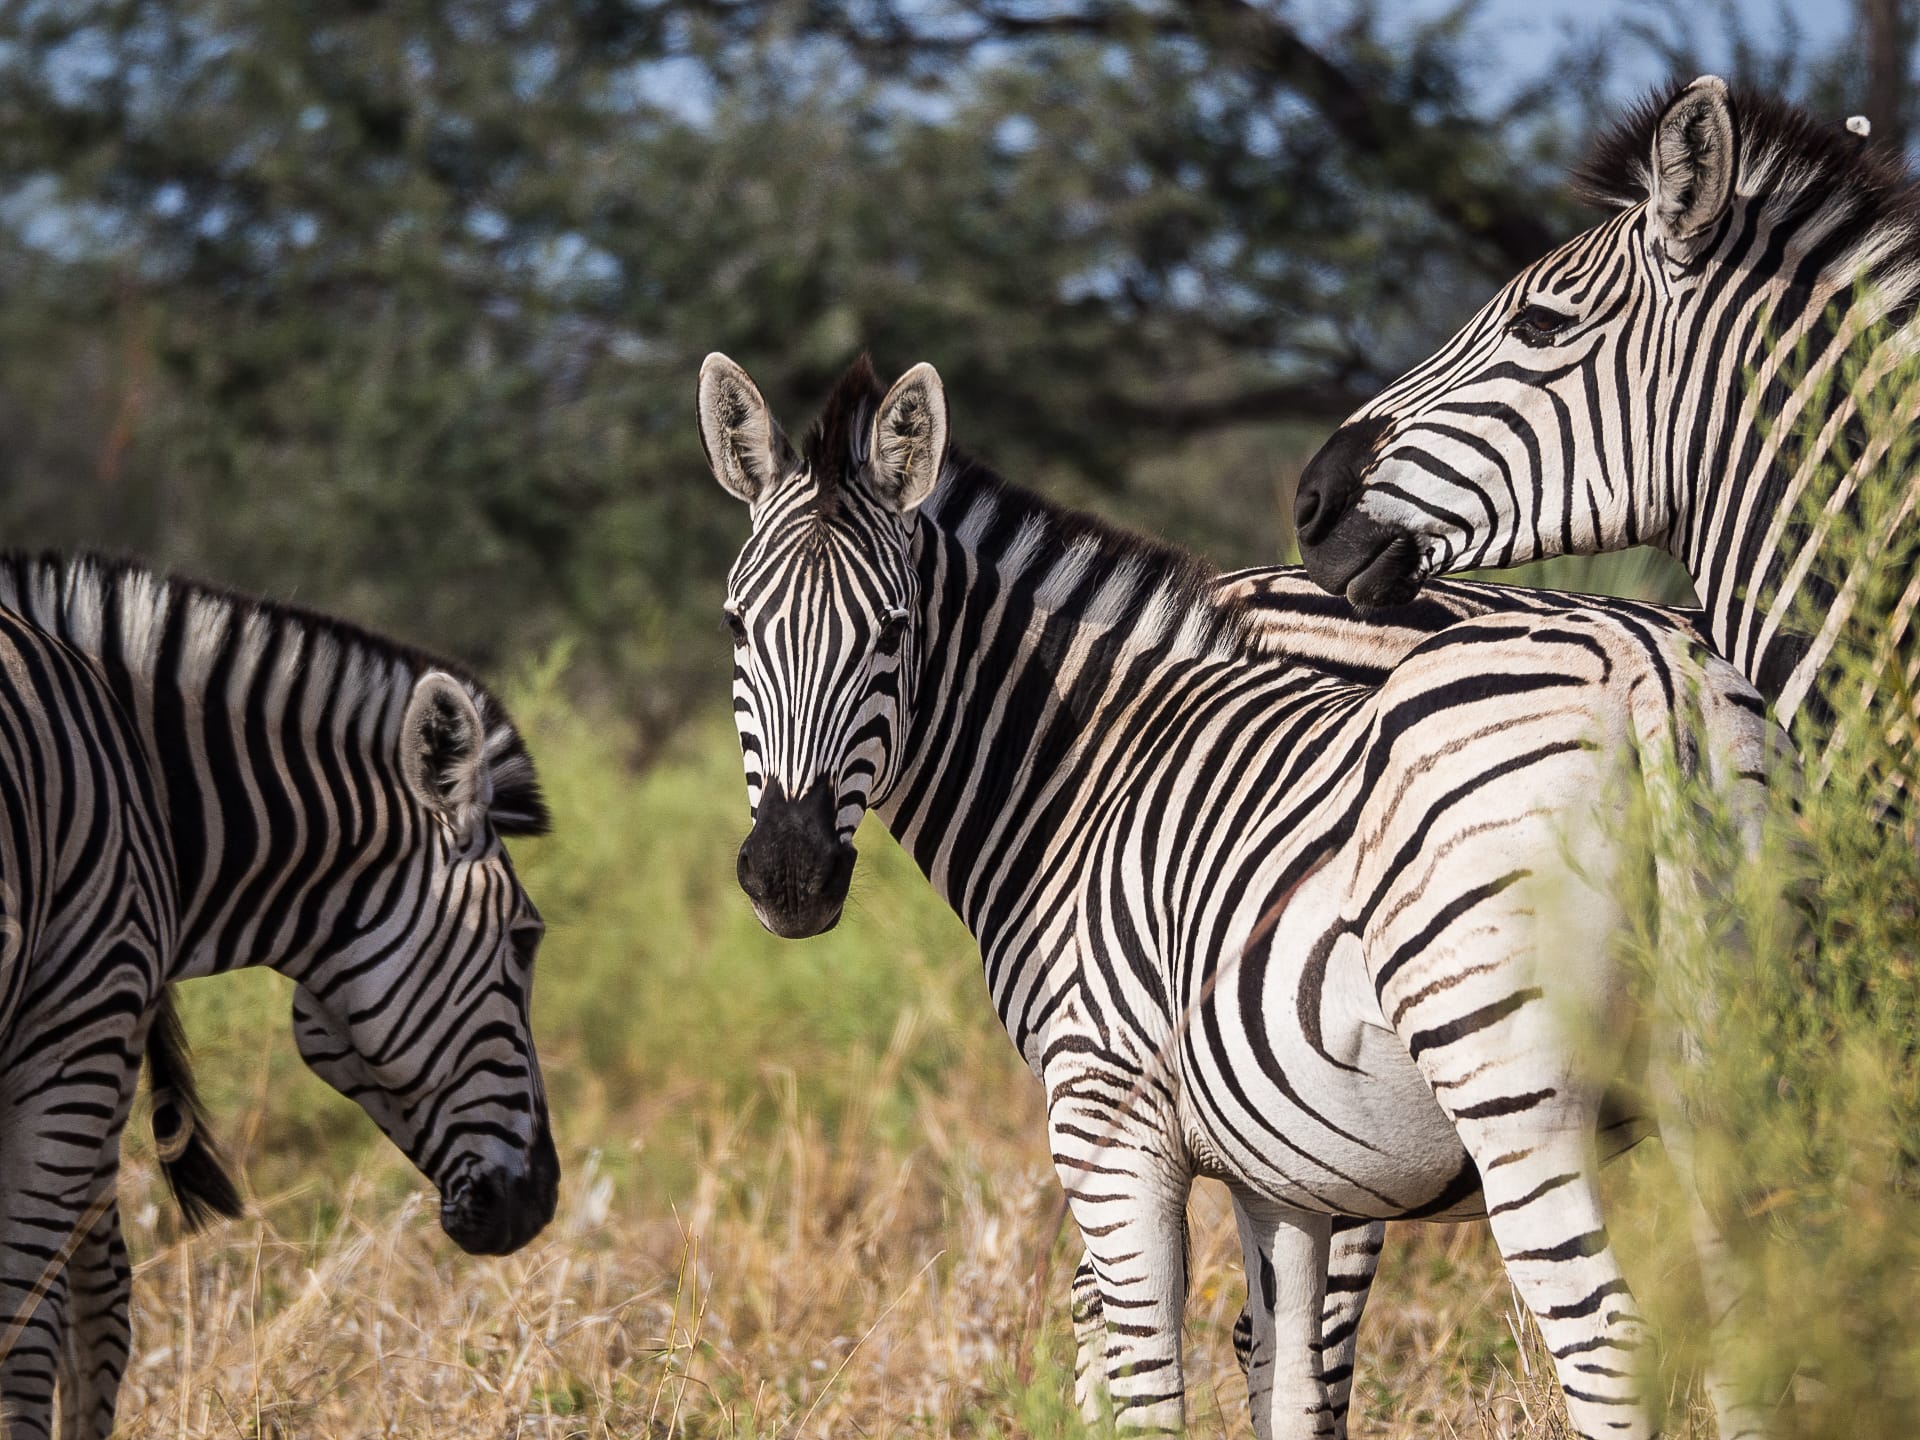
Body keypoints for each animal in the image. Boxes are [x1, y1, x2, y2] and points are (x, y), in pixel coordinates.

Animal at [698, 353, 1774, 1440]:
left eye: (893, 631)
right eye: (737, 626)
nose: (789, 876)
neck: (1087, 780)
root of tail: (1646, 672)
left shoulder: (1108, 1120)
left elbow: (1145, 1390)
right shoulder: (1285, 1171)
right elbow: (1288, 1381)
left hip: (1511, 1089)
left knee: (1605, 1342)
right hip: (1728, 1076)